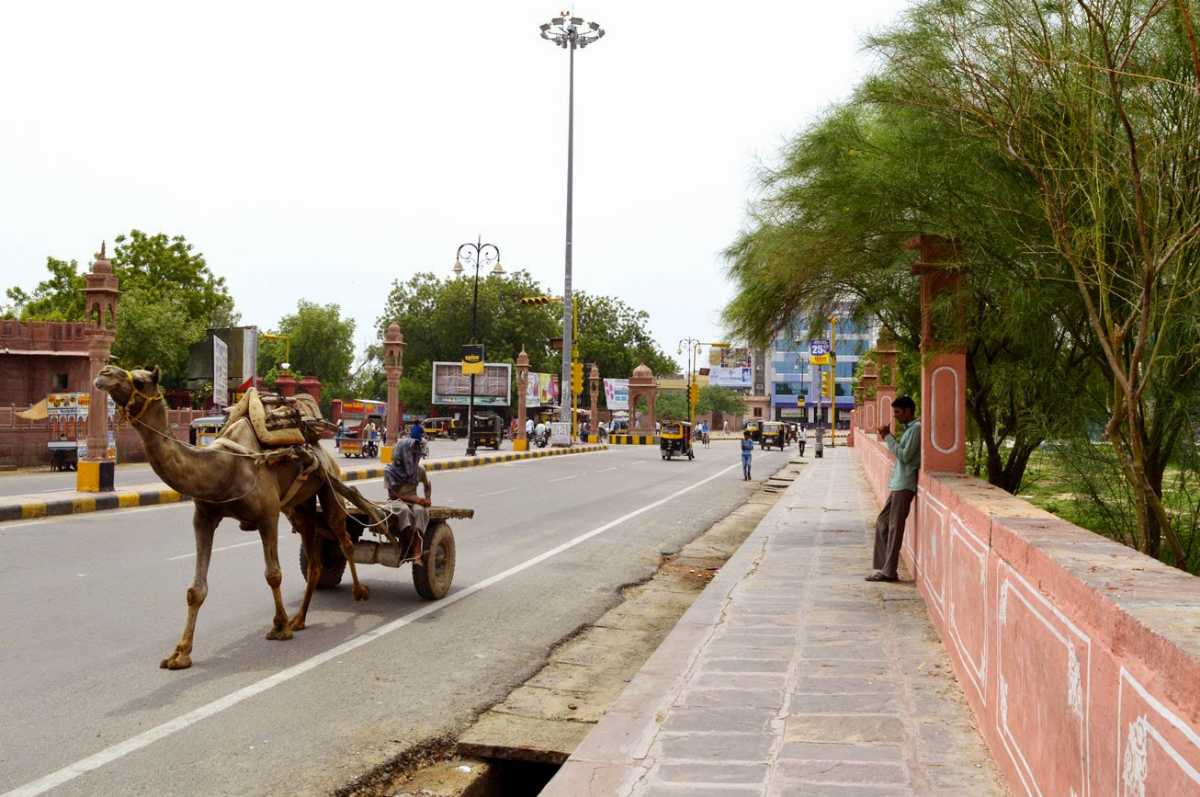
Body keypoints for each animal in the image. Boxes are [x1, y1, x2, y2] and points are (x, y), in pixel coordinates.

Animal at [95, 367, 369, 672]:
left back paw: (358, 593)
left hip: (329, 484)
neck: (224, 467)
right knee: (314, 559)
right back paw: (300, 618)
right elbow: (195, 589)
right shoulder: (204, 517)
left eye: (141, 380)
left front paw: (280, 627)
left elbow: (273, 574)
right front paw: (180, 653)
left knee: (343, 537)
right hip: (300, 507)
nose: (104, 372)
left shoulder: (268, 515)